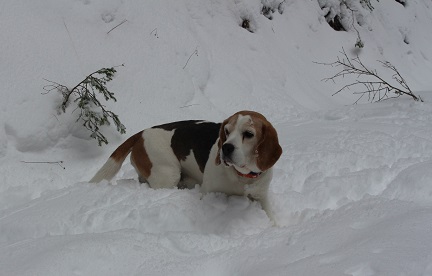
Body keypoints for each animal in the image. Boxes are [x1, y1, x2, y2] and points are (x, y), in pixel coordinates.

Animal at [89, 110, 282, 220]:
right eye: (226, 131)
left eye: (249, 134)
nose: (226, 148)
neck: (242, 177)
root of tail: (142, 133)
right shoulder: (207, 193)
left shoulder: (261, 196)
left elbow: (271, 218)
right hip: (168, 174)